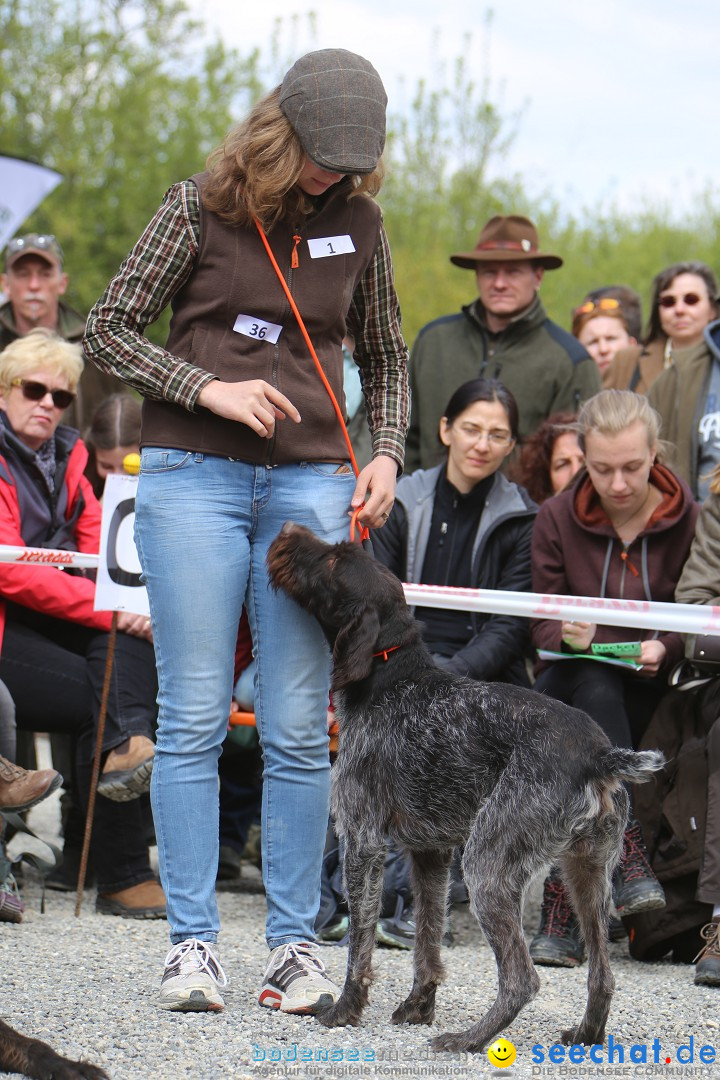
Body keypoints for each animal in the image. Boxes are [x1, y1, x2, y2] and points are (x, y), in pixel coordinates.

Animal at [266, 522, 664, 1054]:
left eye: (333, 561)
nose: (288, 529)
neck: (391, 675)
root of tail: (598, 755)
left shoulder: (362, 841)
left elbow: (361, 942)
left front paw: (347, 1010)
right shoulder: (430, 854)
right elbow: (428, 937)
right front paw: (418, 1007)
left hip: (487, 864)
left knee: (522, 979)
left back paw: (470, 1039)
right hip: (587, 873)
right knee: (602, 975)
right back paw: (585, 1034)